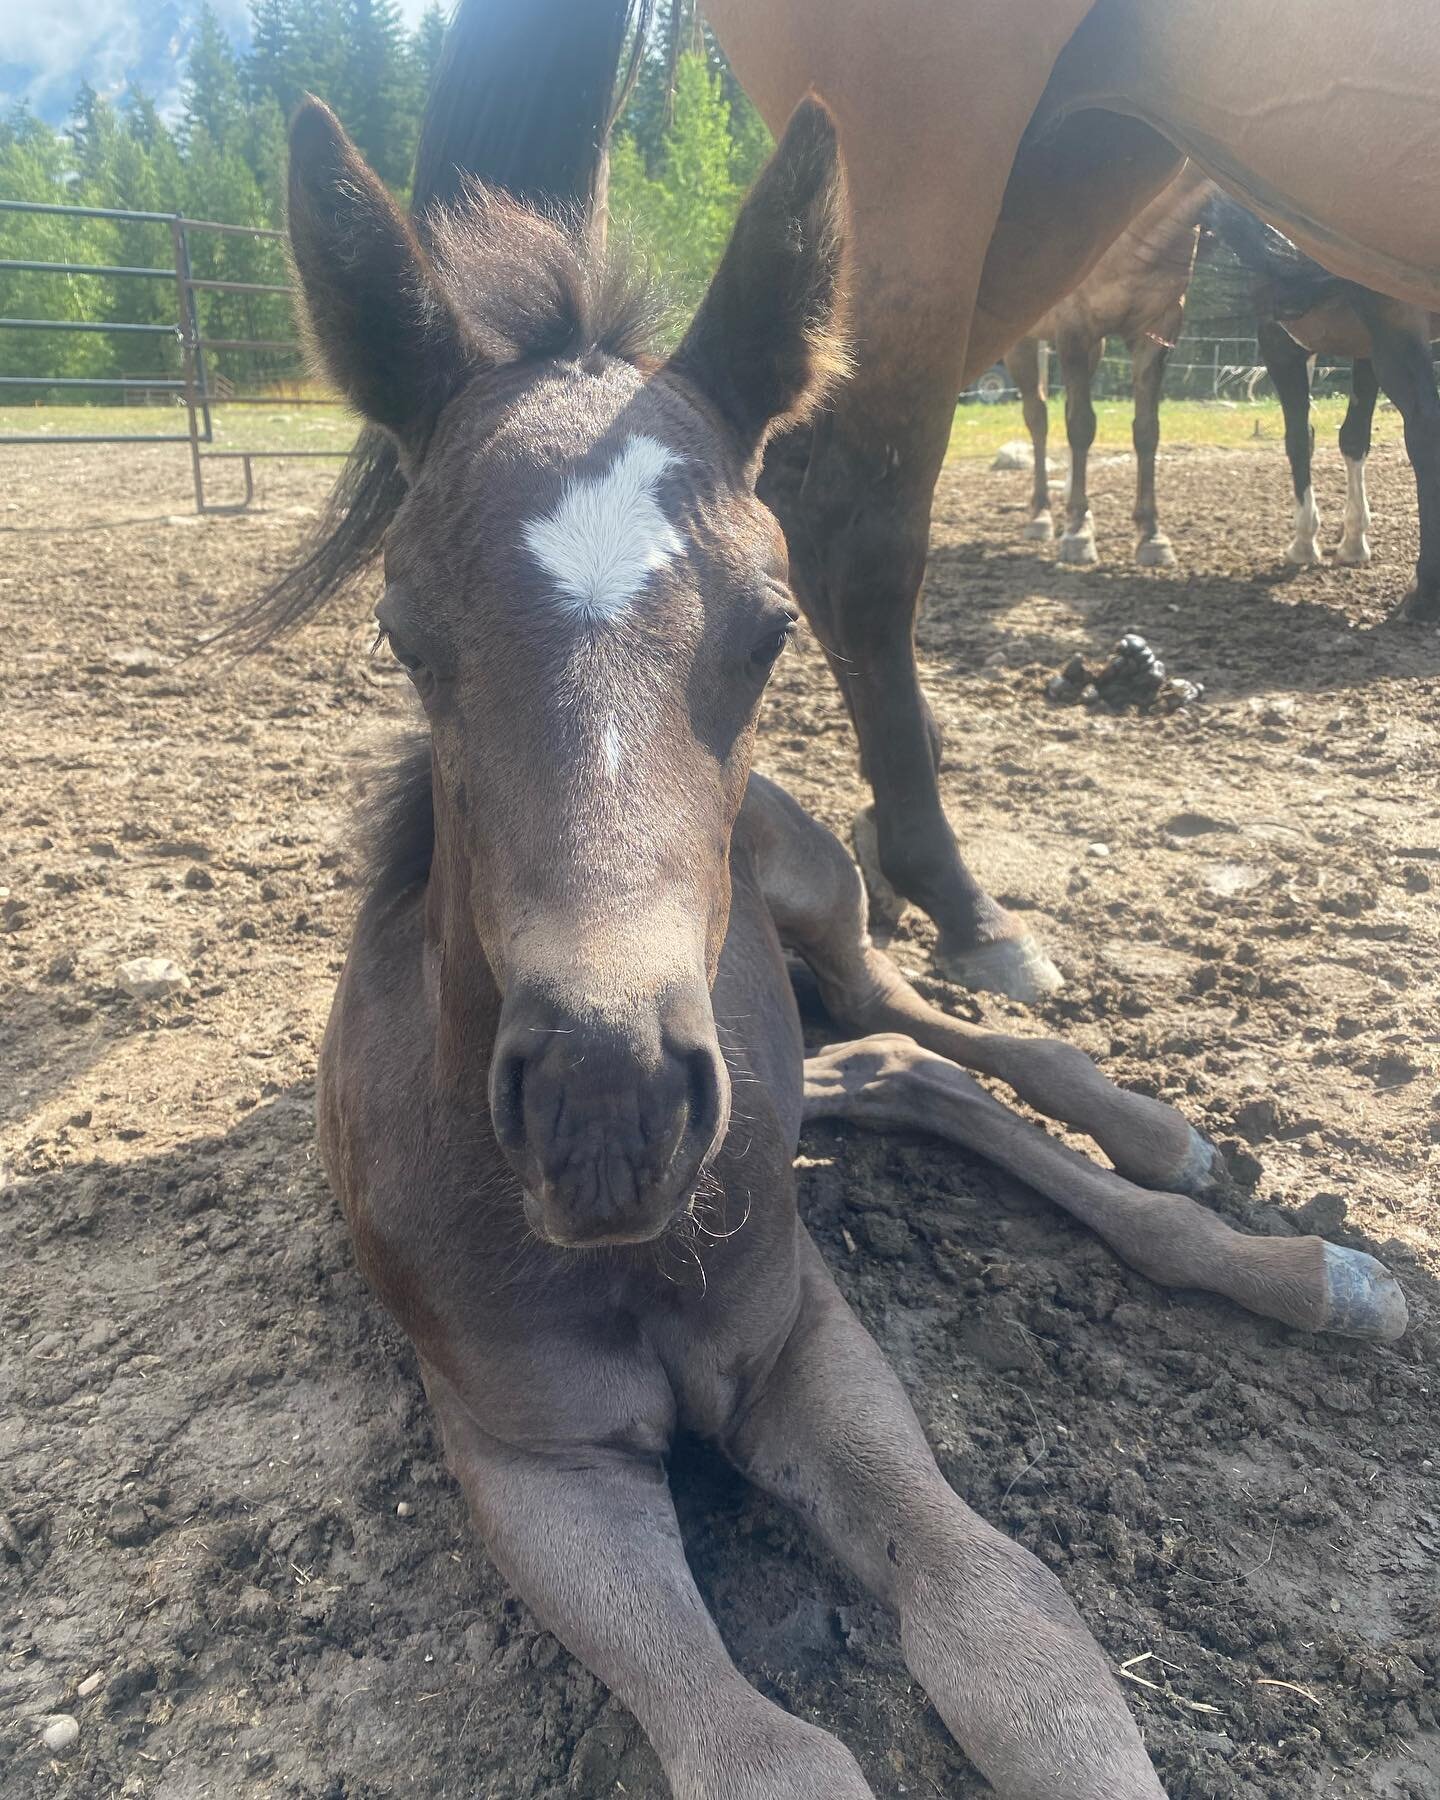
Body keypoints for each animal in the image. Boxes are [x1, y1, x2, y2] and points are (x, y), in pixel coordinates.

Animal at [1000, 168, 1216, 565]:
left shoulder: (1156, 332)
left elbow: (1147, 430)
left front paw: (1151, 535)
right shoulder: (1074, 327)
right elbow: (1081, 426)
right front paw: (1076, 534)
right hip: (1021, 341)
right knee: (1038, 418)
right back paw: (1041, 516)